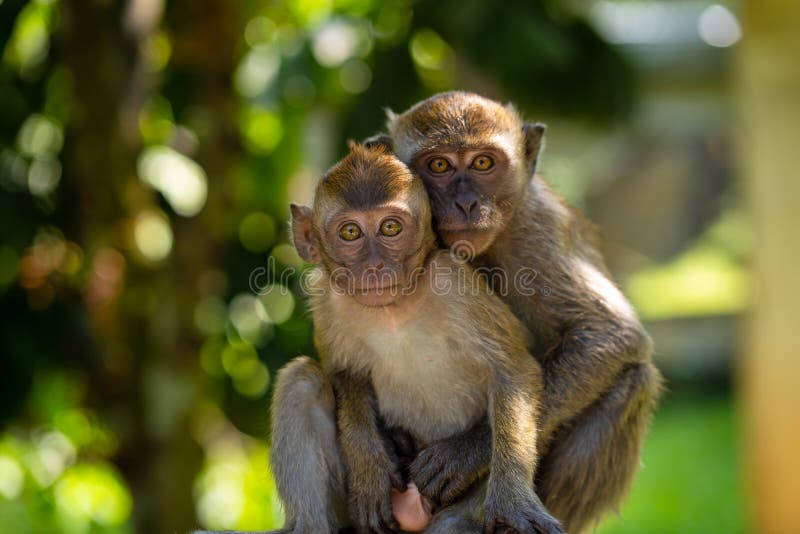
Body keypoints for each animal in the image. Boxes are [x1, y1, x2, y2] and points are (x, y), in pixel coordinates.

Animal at [268, 143, 564, 534]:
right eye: (350, 233)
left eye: (390, 227)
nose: (375, 266)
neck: (393, 309)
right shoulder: (328, 300)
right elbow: (343, 371)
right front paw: (369, 464)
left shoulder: (453, 281)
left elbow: (512, 369)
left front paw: (512, 501)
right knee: (302, 378)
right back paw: (309, 525)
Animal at [368, 90, 664, 532]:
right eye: (438, 165)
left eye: (483, 163)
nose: (466, 203)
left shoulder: (538, 226)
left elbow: (609, 331)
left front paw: (469, 451)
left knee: (633, 380)